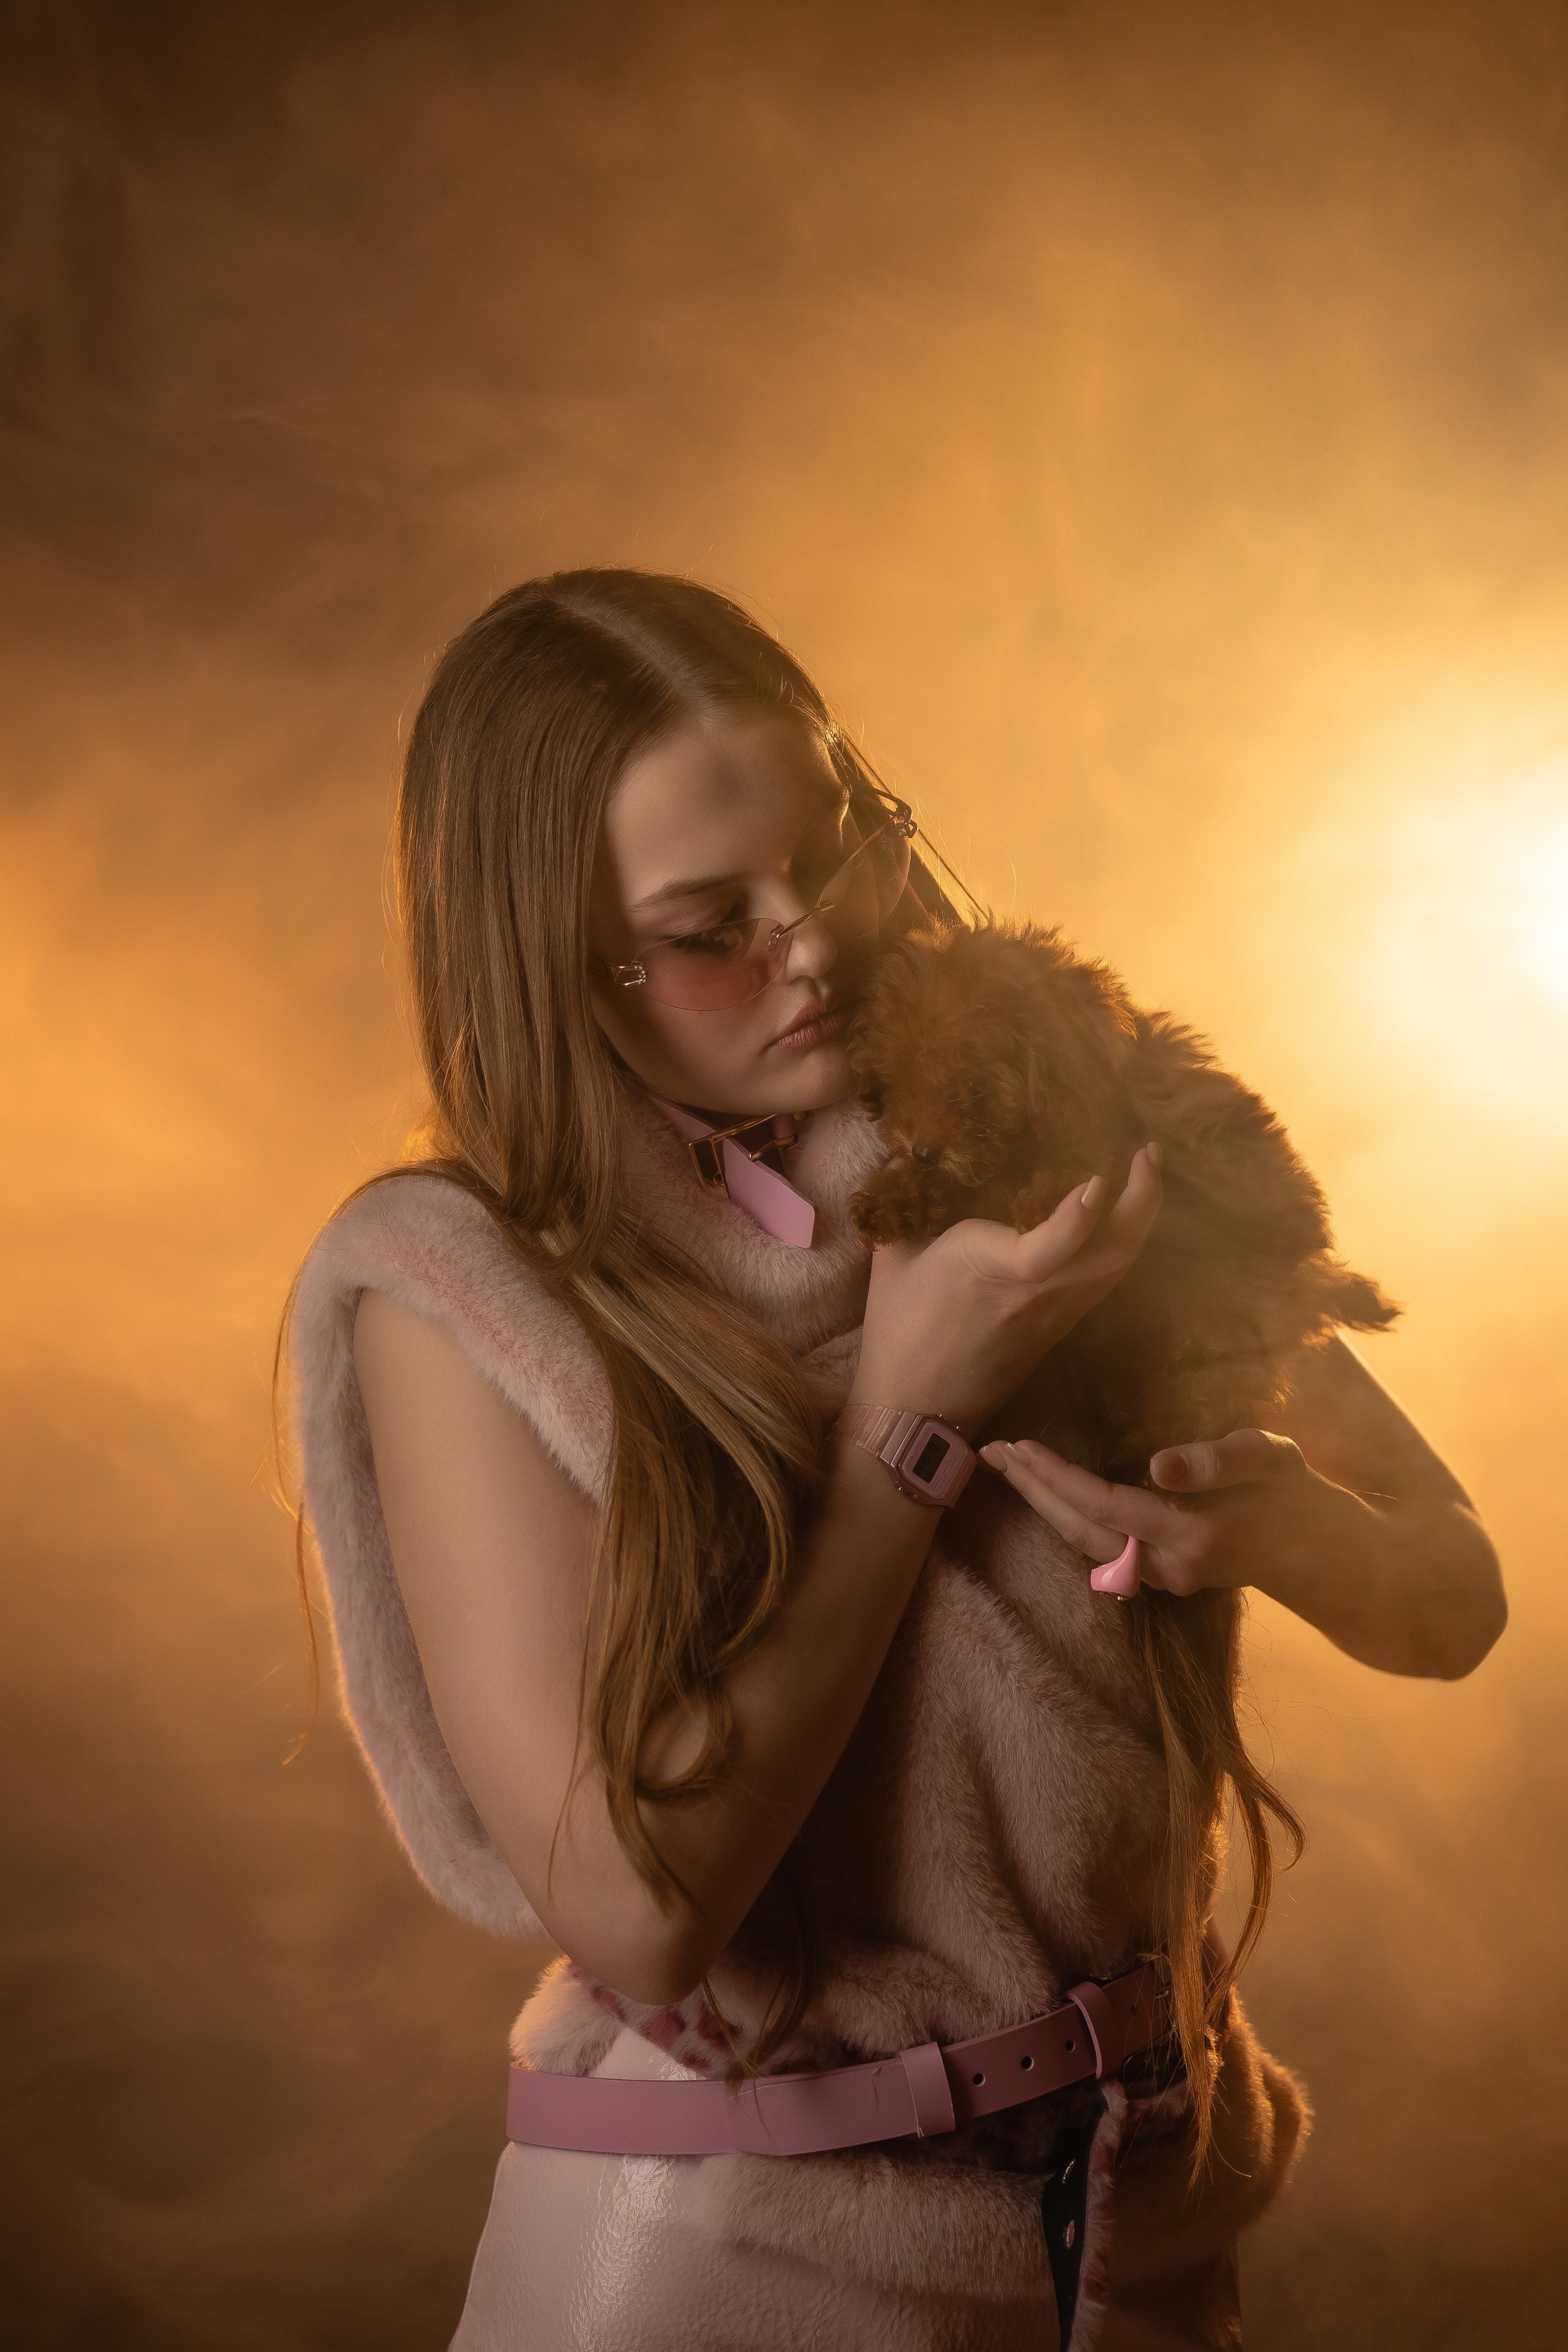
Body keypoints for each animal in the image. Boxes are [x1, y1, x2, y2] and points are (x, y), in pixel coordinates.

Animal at [847, 922, 1398, 1477]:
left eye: (974, 1091)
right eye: (899, 1084)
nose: (923, 1151)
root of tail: (1317, 1287)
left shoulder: (1119, 1142)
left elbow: (1069, 1171)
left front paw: (1042, 1200)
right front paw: (890, 1199)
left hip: (1219, 1341)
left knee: (1198, 1405)